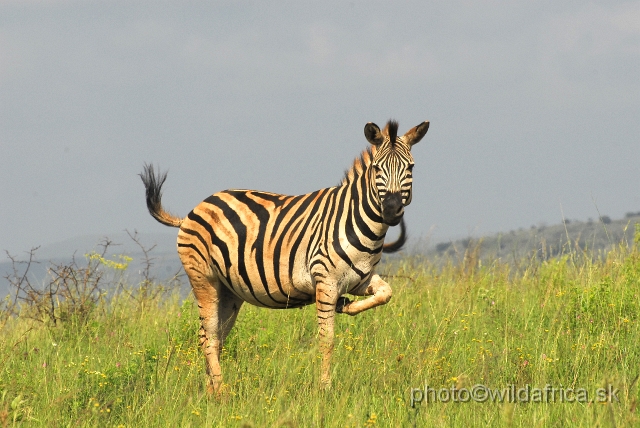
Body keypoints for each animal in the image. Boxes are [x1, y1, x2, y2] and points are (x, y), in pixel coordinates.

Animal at [140, 119, 430, 392]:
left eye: (411, 168)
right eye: (377, 169)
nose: (391, 211)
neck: (361, 223)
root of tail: (194, 209)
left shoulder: (360, 280)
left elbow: (386, 293)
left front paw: (346, 306)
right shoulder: (325, 280)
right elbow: (327, 339)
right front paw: (325, 388)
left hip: (229, 291)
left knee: (214, 336)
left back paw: (211, 392)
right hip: (204, 279)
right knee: (209, 338)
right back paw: (221, 394)